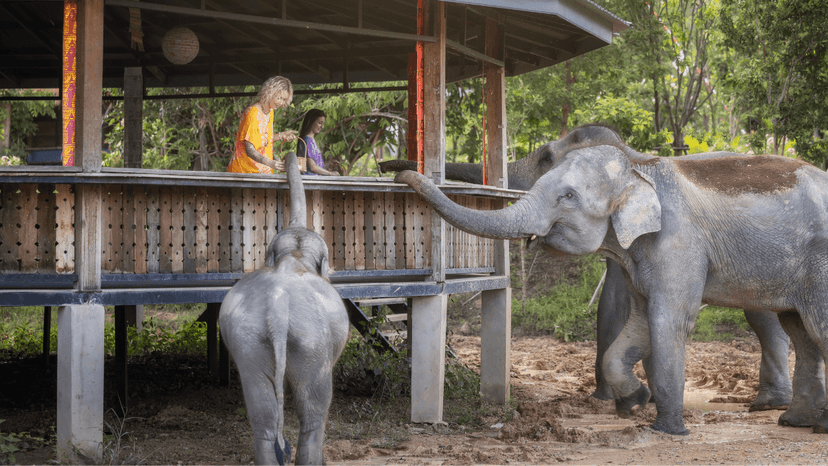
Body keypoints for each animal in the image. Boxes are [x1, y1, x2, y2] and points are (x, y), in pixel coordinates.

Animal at [220, 152, 350, 465]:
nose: (291, 153)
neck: (295, 255)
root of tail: (277, 315)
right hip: (313, 345)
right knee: (313, 409)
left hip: (249, 342)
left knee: (263, 412)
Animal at [394, 138, 828, 436]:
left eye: (567, 196)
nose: (401, 174)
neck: (639, 166)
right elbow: (638, 323)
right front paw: (633, 405)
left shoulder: (678, 243)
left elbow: (668, 320)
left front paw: (666, 432)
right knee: (799, 329)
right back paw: (797, 422)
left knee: (815, 327)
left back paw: (811, 426)